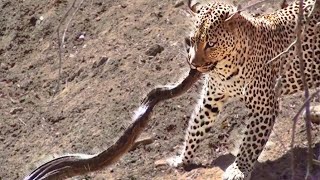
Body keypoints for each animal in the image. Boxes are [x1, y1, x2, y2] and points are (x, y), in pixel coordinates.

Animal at [166, 0, 318, 179]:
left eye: (211, 44)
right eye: (192, 40)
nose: (193, 64)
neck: (225, 68)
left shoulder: (264, 108)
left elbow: (249, 144)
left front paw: (238, 169)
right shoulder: (210, 100)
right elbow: (196, 127)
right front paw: (182, 159)